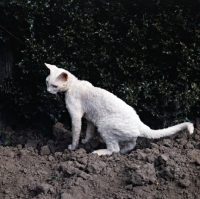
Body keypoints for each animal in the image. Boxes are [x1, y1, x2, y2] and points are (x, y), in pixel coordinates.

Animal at [45, 63, 194, 155]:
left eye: (54, 86)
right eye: (46, 82)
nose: (47, 91)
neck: (74, 84)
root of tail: (140, 124)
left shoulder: (76, 116)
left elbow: (75, 134)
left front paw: (72, 148)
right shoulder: (90, 119)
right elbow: (89, 132)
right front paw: (86, 142)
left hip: (104, 126)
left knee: (114, 149)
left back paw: (98, 152)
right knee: (131, 143)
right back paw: (123, 153)